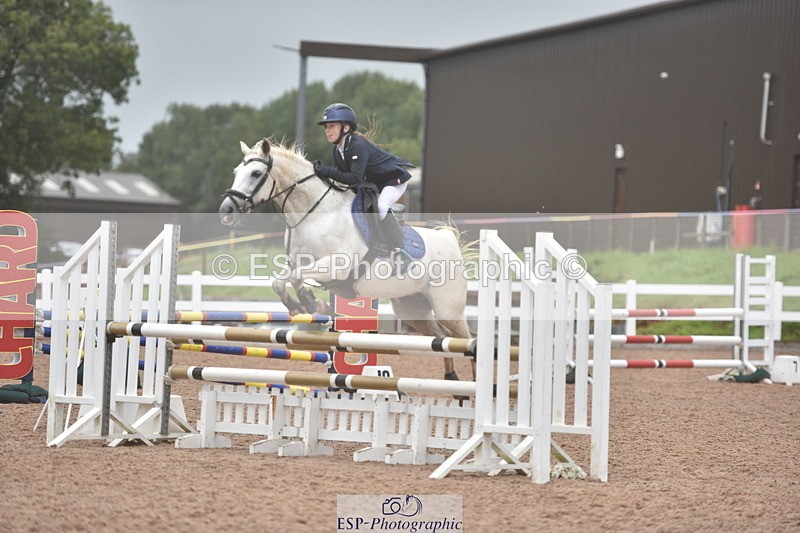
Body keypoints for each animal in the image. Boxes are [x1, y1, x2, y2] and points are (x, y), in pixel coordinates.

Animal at [218, 138, 472, 380]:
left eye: (256, 173)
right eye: (235, 172)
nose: (226, 211)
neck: (313, 214)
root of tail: (450, 239)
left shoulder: (336, 266)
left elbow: (298, 279)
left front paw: (311, 303)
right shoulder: (297, 263)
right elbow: (279, 282)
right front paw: (298, 305)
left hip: (448, 309)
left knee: (465, 341)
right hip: (412, 309)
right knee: (441, 339)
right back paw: (451, 378)